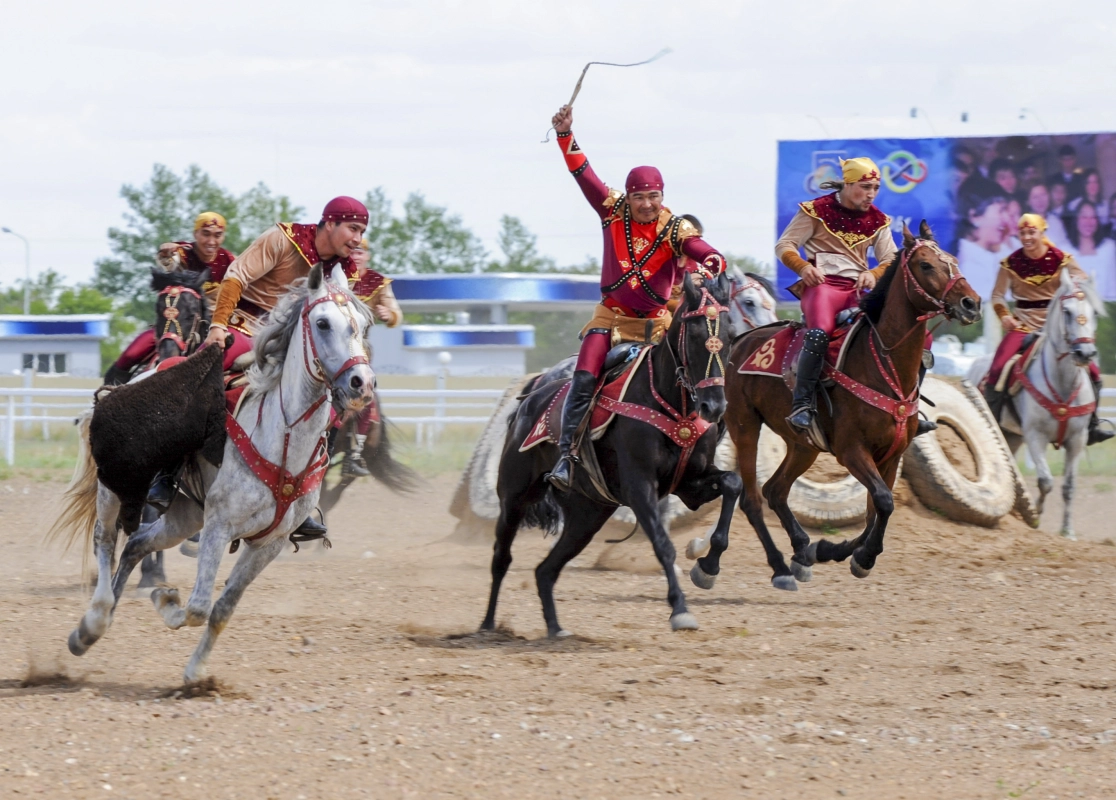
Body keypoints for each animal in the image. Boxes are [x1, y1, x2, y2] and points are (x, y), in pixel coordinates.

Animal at [53, 265, 374, 678]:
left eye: (362, 325)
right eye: (322, 323)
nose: (361, 382)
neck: (283, 435)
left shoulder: (269, 543)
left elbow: (222, 609)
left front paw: (195, 674)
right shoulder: (218, 527)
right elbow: (198, 606)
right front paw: (165, 599)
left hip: (184, 518)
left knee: (137, 542)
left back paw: (102, 621)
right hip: (116, 490)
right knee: (106, 541)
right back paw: (91, 623)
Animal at [479, 274, 741, 638]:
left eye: (730, 335)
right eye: (695, 335)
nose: (714, 406)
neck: (669, 400)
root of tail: (527, 402)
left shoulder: (692, 484)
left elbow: (733, 482)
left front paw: (708, 567)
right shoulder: (639, 488)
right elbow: (663, 544)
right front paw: (680, 610)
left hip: (588, 515)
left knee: (546, 570)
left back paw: (556, 628)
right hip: (514, 498)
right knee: (501, 558)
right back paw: (488, 624)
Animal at [700, 222, 982, 589]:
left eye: (953, 261)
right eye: (925, 265)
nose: (971, 303)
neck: (881, 361)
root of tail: (738, 343)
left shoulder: (892, 456)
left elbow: (876, 510)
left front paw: (831, 551)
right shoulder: (852, 451)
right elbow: (884, 502)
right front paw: (860, 556)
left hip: (802, 444)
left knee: (776, 490)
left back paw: (802, 551)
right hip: (745, 427)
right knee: (752, 499)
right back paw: (742, 566)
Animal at [968, 271, 1107, 540]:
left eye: (1094, 312)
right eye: (1067, 311)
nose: (1085, 353)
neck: (1062, 383)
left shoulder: (1077, 439)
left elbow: (1068, 486)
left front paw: (1067, 531)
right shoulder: (1035, 436)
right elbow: (1045, 481)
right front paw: (1036, 516)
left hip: (1013, 436)